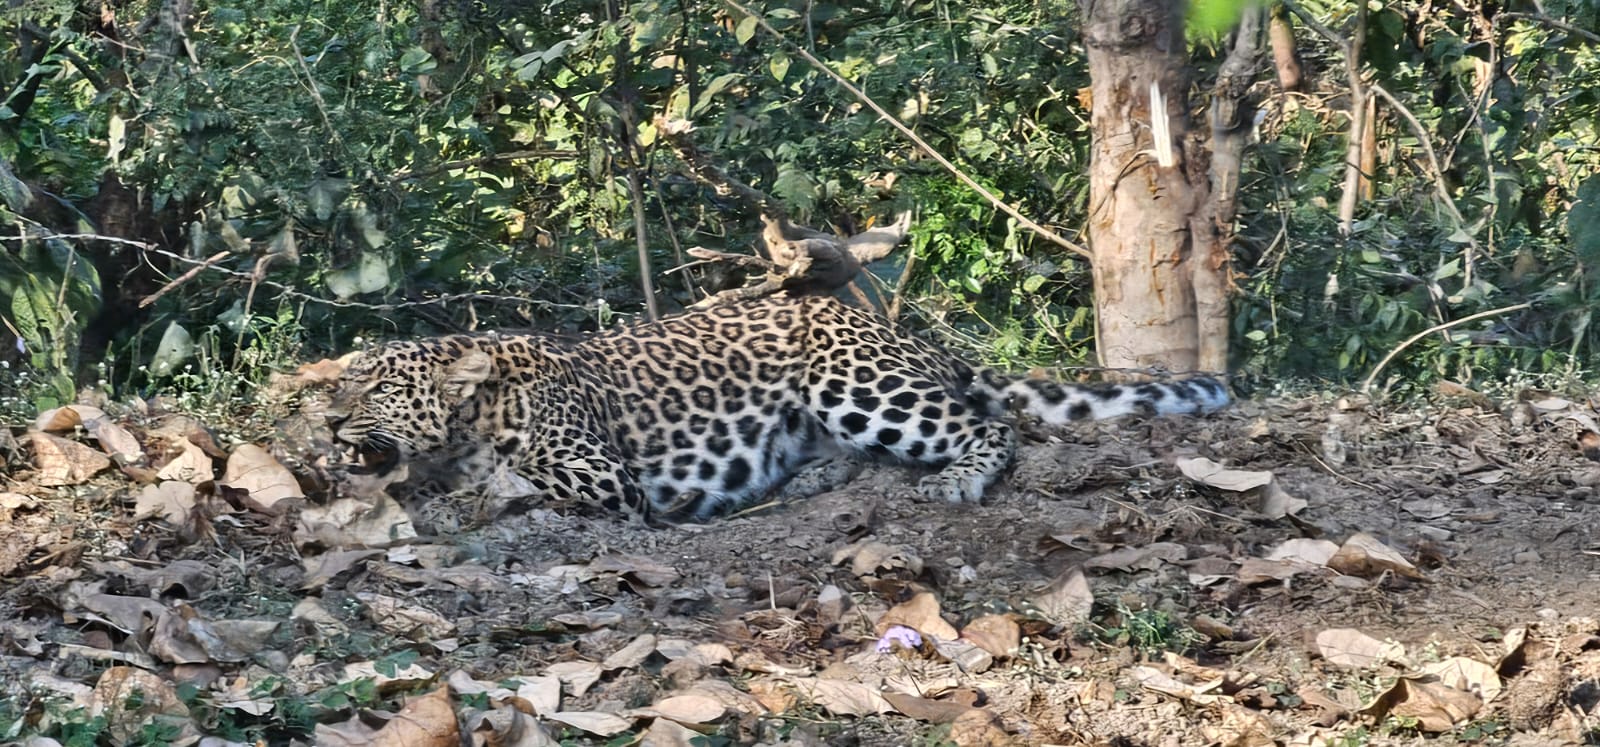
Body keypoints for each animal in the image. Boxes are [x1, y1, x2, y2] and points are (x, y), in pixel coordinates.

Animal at [324, 295, 1222, 524]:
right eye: (344, 382)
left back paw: (956, 480)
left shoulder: (605, 476)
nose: (329, 423)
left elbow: (511, 482)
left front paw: (456, 504)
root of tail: (904, 333)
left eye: (377, 388)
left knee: (988, 426)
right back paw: (803, 484)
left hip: (853, 381)